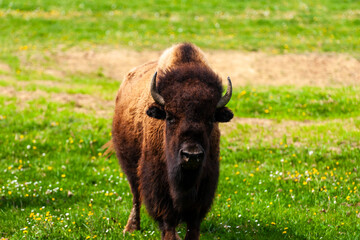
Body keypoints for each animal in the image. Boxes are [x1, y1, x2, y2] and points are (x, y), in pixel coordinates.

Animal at [111, 43, 233, 240]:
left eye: (210, 119)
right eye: (170, 117)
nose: (192, 155)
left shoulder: (205, 185)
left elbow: (193, 223)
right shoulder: (158, 183)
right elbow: (167, 219)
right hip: (129, 164)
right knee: (136, 194)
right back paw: (131, 228)